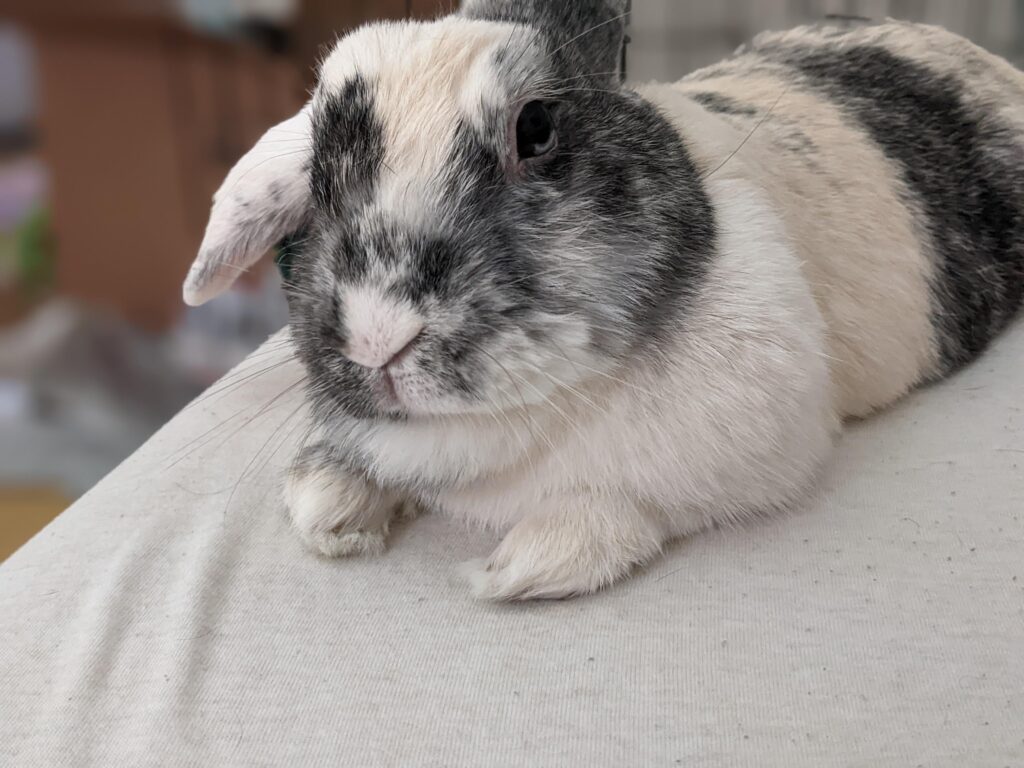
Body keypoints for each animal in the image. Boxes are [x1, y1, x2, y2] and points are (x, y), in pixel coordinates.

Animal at [183, 1, 1024, 600]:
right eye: (318, 178)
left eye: (536, 128)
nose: (377, 339)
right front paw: (328, 509)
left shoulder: (752, 446)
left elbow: (628, 509)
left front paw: (516, 570)